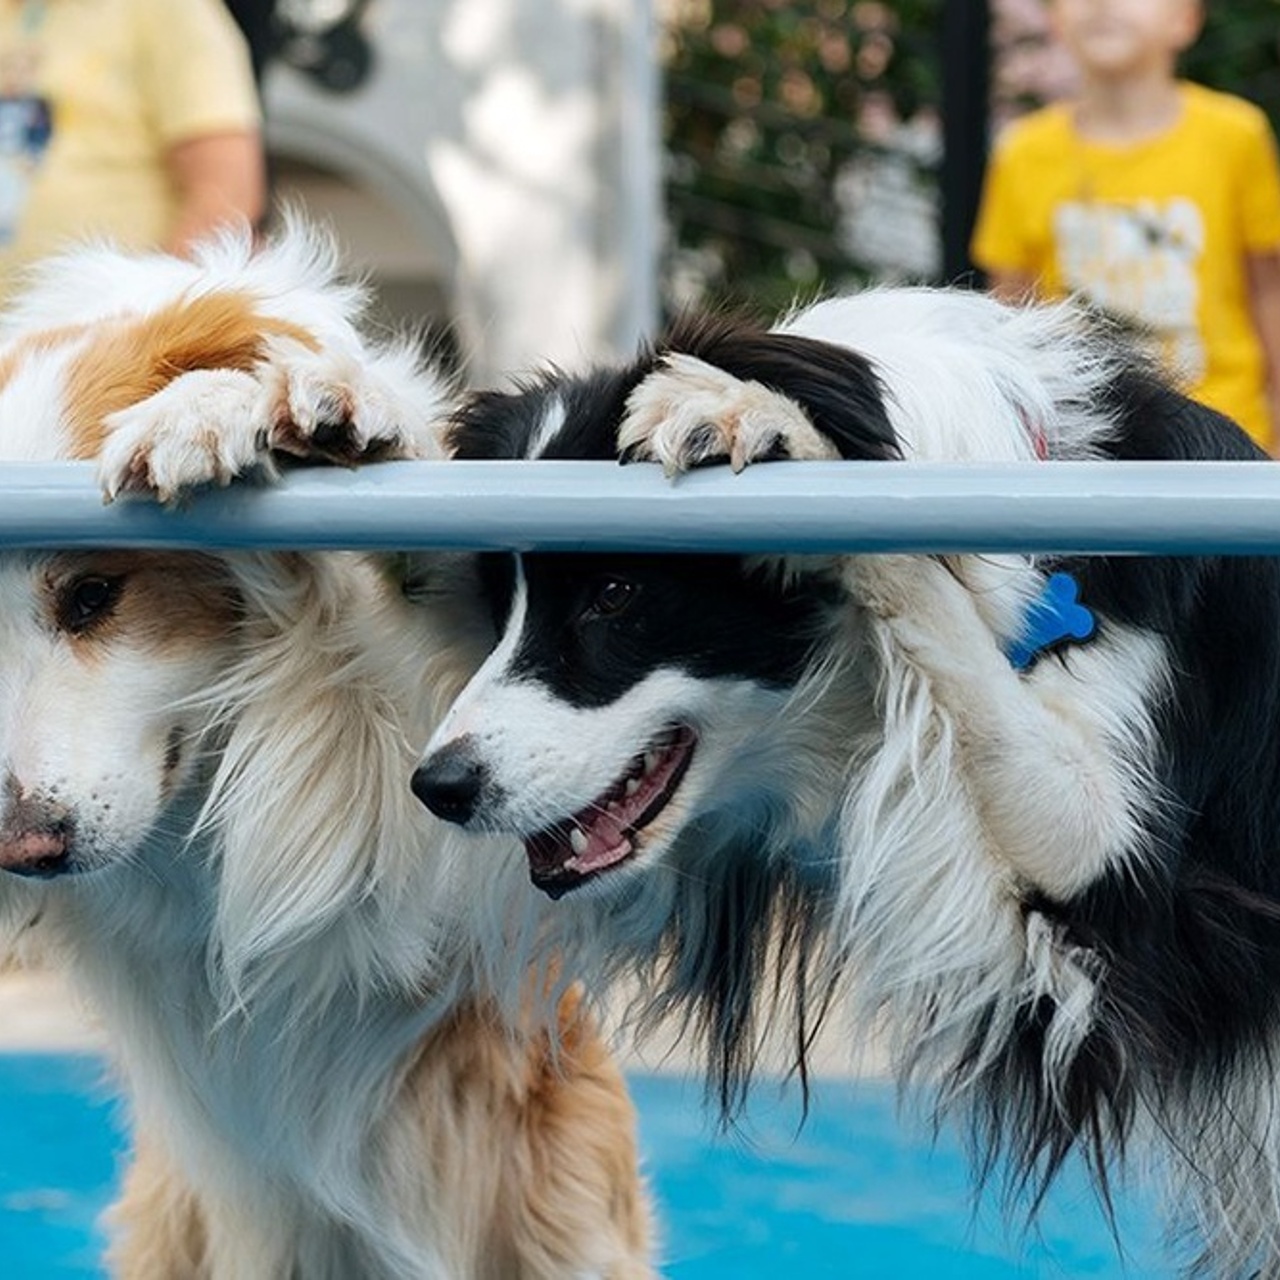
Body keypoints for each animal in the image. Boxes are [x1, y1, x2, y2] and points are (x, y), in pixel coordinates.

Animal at [412, 290, 1280, 1269]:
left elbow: (921, 583)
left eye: (615, 593)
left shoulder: (1139, 884)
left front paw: (759, 417)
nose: (440, 787)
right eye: (500, 609)